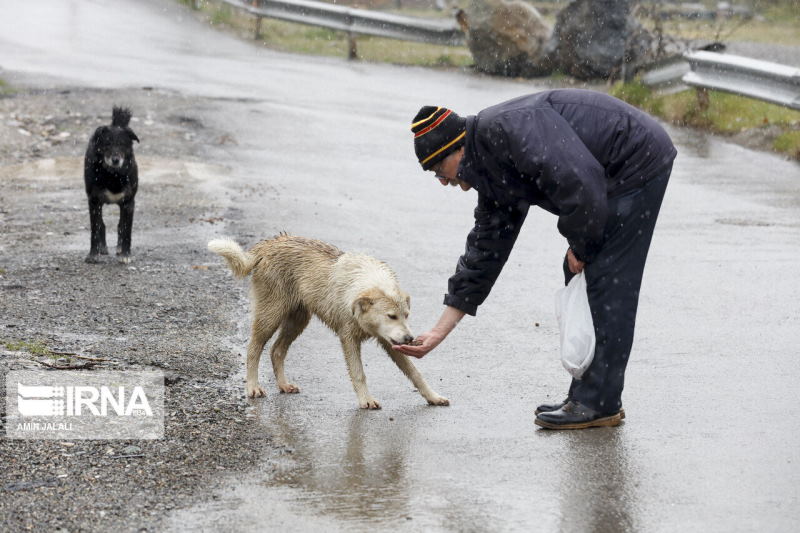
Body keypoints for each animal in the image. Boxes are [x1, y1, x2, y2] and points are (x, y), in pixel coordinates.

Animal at [85, 105, 141, 262]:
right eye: (107, 144)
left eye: (122, 144)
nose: (115, 160)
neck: (113, 175)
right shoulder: (94, 201)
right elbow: (95, 229)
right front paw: (93, 254)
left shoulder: (128, 203)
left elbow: (126, 229)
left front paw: (125, 255)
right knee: (102, 225)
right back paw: (102, 248)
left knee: (120, 225)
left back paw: (120, 248)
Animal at [208, 233, 450, 408]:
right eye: (391, 316)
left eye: (406, 315)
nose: (410, 338)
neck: (363, 284)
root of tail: (270, 244)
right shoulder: (348, 338)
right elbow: (359, 374)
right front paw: (366, 400)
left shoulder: (389, 341)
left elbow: (415, 373)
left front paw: (433, 396)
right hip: (271, 314)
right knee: (254, 348)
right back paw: (253, 387)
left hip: (298, 320)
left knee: (277, 350)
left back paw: (284, 385)